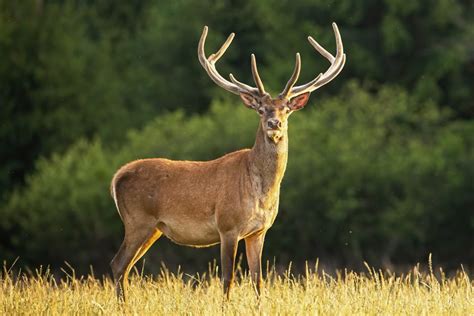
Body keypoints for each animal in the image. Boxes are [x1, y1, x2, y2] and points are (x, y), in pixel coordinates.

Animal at [111, 22, 348, 302]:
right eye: (261, 109)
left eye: (286, 109)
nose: (274, 123)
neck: (261, 193)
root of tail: (117, 176)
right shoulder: (227, 226)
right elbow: (228, 279)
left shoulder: (259, 231)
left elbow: (258, 280)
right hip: (138, 220)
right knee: (118, 264)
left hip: (154, 228)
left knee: (125, 267)